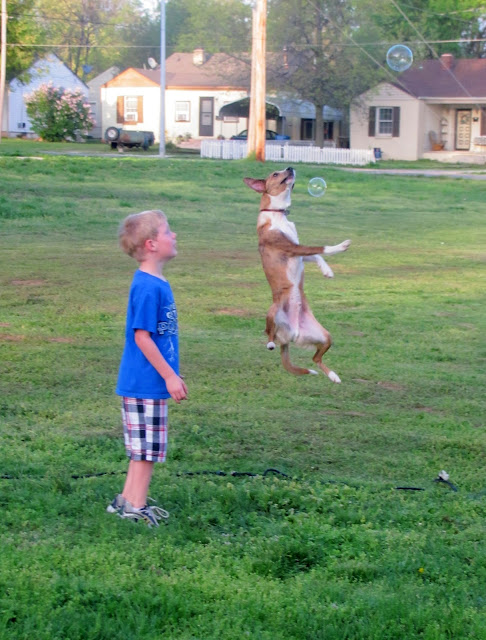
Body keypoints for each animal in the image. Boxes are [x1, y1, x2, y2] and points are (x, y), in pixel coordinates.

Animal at [244, 167, 350, 383]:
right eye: (275, 174)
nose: (290, 167)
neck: (276, 214)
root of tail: (290, 335)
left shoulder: (298, 251)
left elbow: (316, 255)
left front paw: (327, 270)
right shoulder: (292, 247)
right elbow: (321, 248)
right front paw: (340, 246)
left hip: (325, 336)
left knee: (315, 358)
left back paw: (333, 376)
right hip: (272, 310)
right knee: (268, 332)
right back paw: (270, 343)